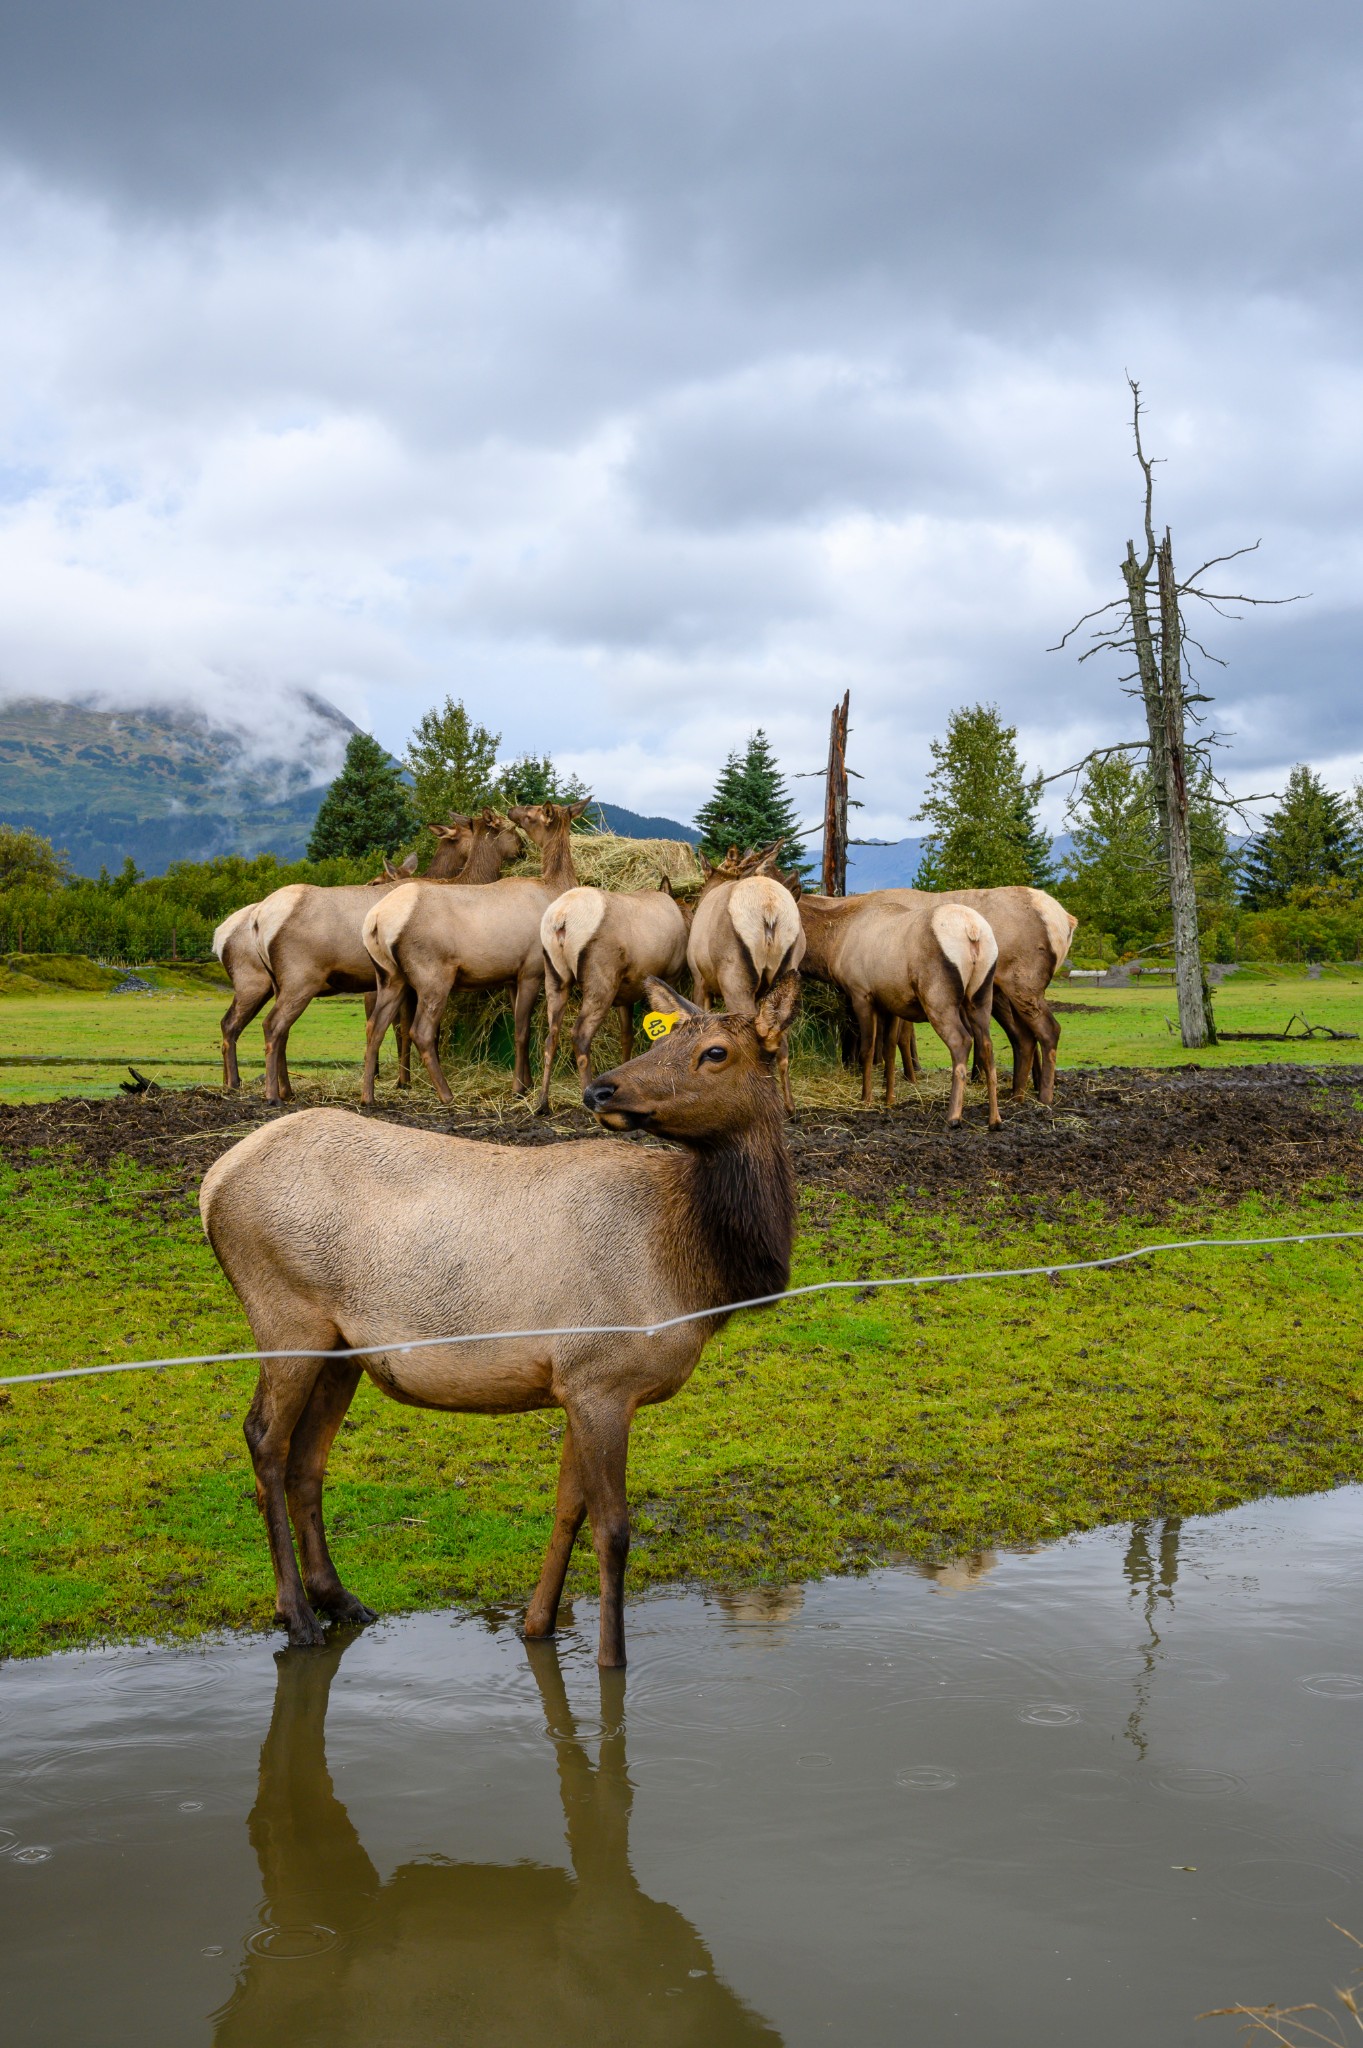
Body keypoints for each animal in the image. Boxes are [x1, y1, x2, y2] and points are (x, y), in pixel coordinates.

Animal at [200, 970, 798, 1662]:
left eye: (715, 1052)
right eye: (665, 1040)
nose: (601, 1088)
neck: (697, 1272)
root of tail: (211, 1185)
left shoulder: (578, 1383)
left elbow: (568, 1512)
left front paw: (537, 1625)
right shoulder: (602, 1379)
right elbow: (614, 1531)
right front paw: (611, 1660)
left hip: (339, 1347)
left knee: (307, 1459)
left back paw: (338, 1598)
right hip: (285, 1316)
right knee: (264, 1440)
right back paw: (297, 1616)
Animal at [356, 794, 585, 1105]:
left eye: (529, 814)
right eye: (520, 821)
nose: (511, 810)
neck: (555, 889)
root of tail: (377, 921)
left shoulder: (511, 975)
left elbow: (519, 1028)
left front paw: (525, 1082)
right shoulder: (531, 968)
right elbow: (522, 1031)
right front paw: (518, 1088)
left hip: (389, 976)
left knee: (375, 1026)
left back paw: (368, 1094)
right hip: (432, 973)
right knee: (420, 1031)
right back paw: (445, 1093)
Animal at [532, 872, 691, 1114]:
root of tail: (561, 917)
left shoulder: (625, 993)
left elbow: (626, 1036)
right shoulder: (670, 975)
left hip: (555, 975)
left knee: (551, 1036)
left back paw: (542, 1102)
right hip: (601, 979)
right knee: (579, 1034)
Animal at [683, 872, 802, 1114]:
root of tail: (769, 908)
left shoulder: (700, 980)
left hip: (735, 982)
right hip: (787, 973)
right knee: (782, 1044)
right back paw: (790, 1107)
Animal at [798, 892, 998, 1122]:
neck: (833, 948)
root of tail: (972, 930)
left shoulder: (861, 994)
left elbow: (867, 1050)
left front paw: (866, 1097)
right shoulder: (890, 1001)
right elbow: (889, 1050)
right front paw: (889, 1099)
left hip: (938, 998)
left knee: (962, 1041)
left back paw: (953, 1116)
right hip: (981, 996)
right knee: (986, 1044)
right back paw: (994, 1119)